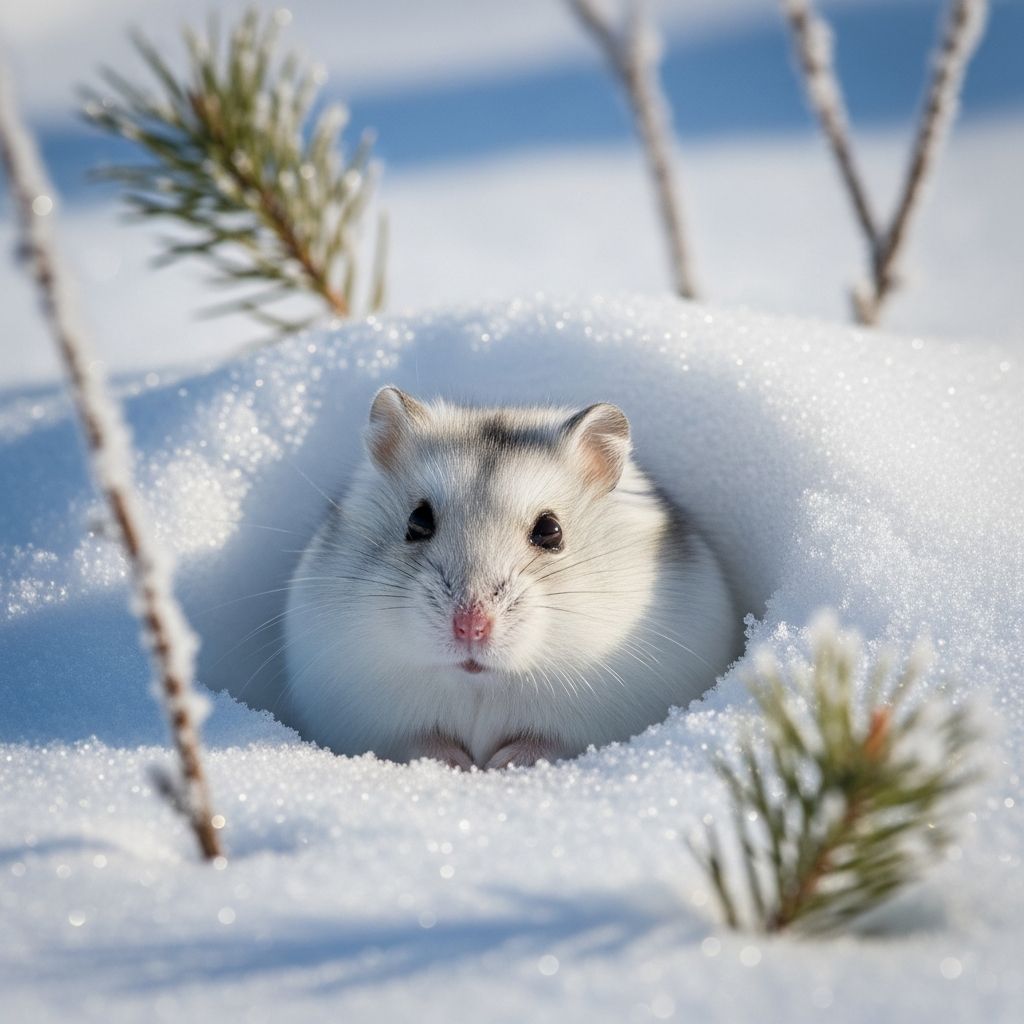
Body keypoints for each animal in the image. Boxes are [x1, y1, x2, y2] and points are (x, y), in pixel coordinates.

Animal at [283, 387, 740, 770]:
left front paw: (502, 766)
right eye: (417, 521)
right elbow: (422, 742)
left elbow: (546, 743)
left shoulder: (598, 721)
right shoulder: (373, 719)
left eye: (550, 531)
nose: (470, 626)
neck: (482, 683)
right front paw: (459, 766)